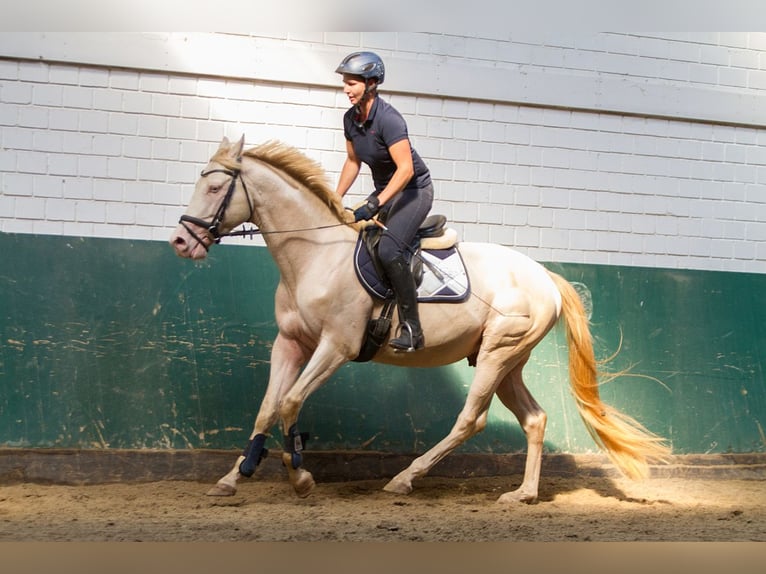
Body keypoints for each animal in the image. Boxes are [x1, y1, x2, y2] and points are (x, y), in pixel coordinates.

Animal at [170, 137, 672, 506]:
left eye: (214, 189)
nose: (181, 241)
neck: (314, 257)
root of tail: (544, 275)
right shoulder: (291, 343)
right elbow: (267, 407)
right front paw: (234, 477)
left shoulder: (336, 346)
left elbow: (291, 403)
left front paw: (300, 477)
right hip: (507, 360)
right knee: (534, 419)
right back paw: (523, 494)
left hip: (499, 352)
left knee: (471, 420)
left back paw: (404, 478)